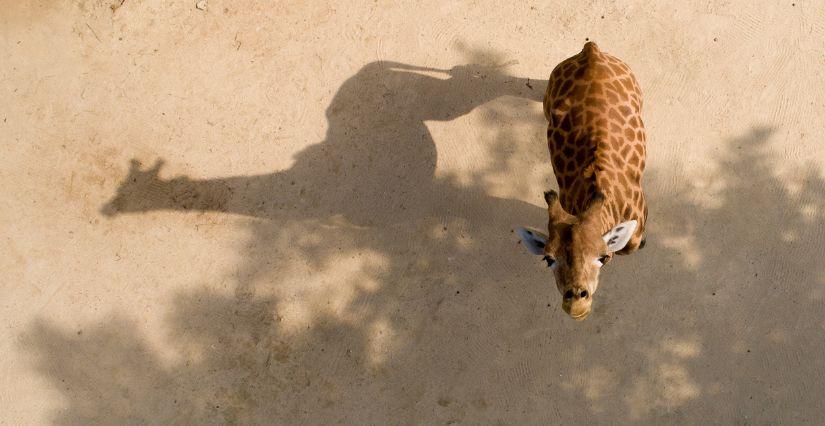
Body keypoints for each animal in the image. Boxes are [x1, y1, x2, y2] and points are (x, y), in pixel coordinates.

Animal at [520, 41, 648, 320]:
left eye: (603, 257)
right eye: (548, 258)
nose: (576, 305)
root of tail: (591, 50)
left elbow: (632, 246)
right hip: (547, 103)